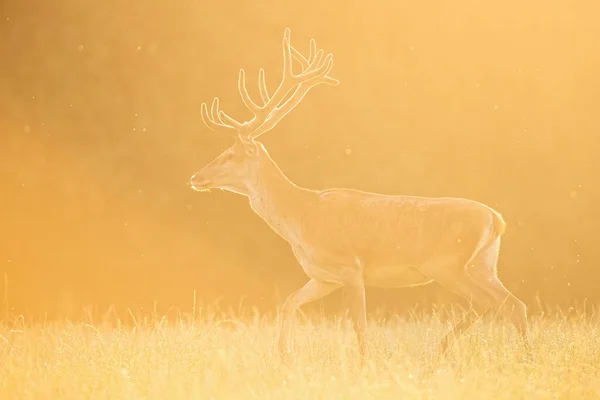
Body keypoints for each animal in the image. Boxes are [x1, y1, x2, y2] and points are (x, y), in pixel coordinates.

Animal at [190, 27, 532, 360]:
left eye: (230, 155)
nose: (196, 177)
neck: (301, 217)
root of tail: (496, 219)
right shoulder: (322, 276)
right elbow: (288, 302)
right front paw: (283, 353)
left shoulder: (350, 266)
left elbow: (358, 324)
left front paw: (364, 361)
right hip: (483, 264)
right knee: (514, 303)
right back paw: (509, 353)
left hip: (447, 263)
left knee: (489, 302)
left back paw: (450, 347)